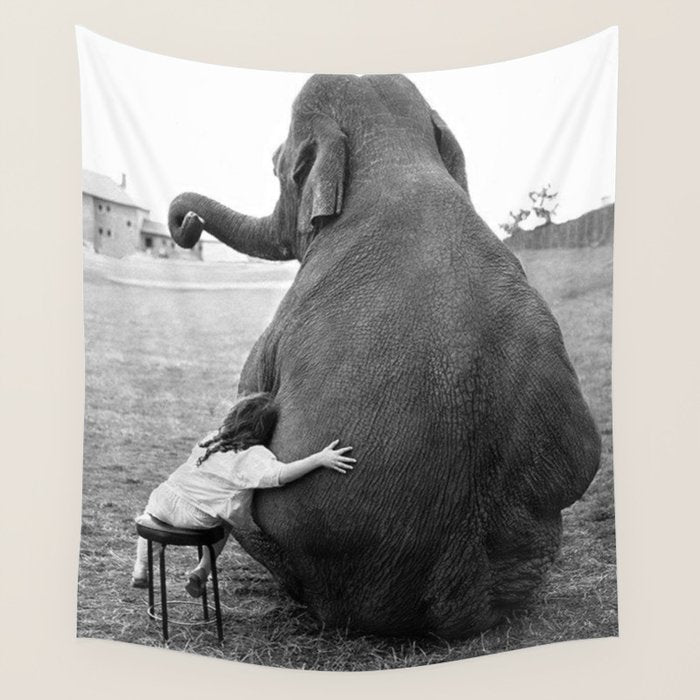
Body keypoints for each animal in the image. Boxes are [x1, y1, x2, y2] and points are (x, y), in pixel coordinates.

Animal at [168, 74, 601, 638]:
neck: (396, 157)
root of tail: (459, 598)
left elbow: (248, 402)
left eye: (276, 163)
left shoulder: (279, 326)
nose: (188, 223)